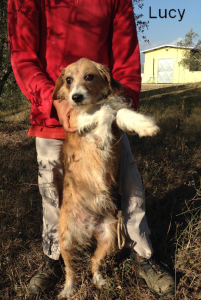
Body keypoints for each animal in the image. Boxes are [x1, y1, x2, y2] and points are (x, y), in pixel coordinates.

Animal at [52, 57, 160, 298]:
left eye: (89, 76)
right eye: (68, 80)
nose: (76, 97)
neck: (92, 103)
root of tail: (87, 228)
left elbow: (116, 112)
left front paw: (144, 124)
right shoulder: (78, 121)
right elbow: (106, 112)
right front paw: (102, 134)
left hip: (108, 236)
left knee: (94, 262)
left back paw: (100, 280)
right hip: (65, 241)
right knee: (71, 271)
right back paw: (67, 290)